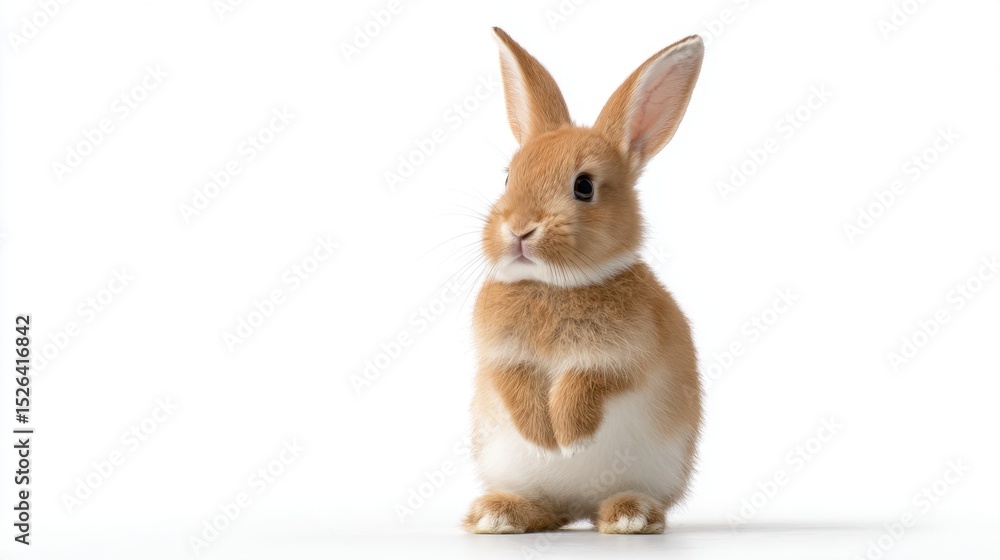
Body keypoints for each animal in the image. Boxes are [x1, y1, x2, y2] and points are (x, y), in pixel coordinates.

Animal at [463, 28, 705, 535]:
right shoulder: (501, 357)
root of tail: (577, 509)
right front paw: (544, 439)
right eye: (508, 177)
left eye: (584, 186)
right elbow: (515, 386)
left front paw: (569, 440)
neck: (553, 286)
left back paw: (630, 516)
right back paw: (499, 514)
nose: (519, 229)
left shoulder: (620, 359)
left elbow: (583, 388)